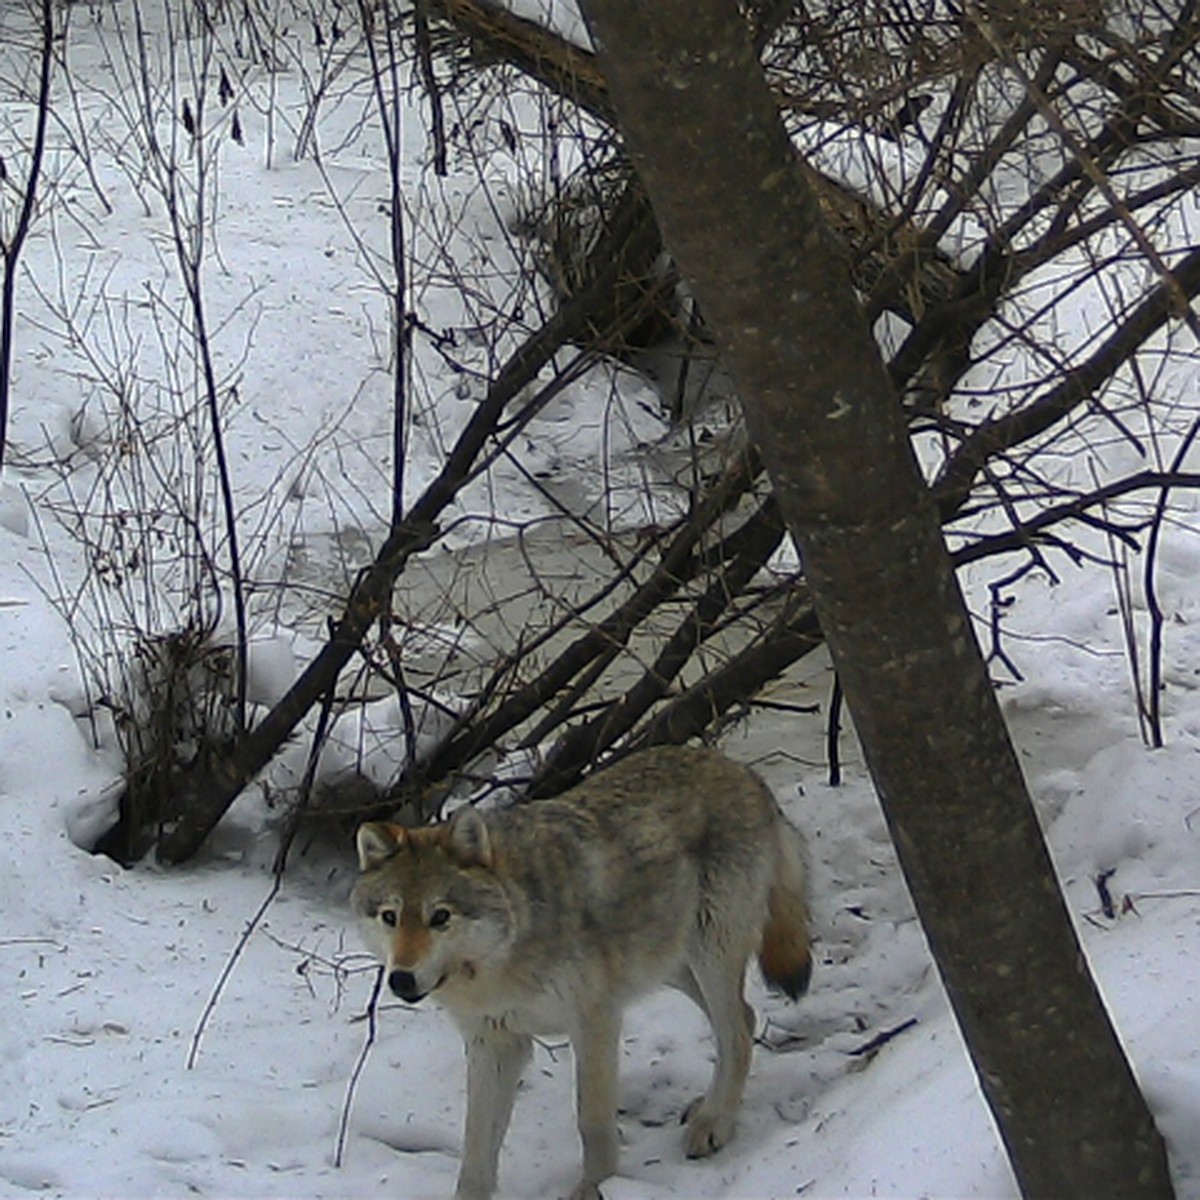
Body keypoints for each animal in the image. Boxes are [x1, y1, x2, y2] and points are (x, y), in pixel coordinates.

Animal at [350, 744, 811, 1195]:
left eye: (440, 917)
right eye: (391, 917)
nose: (401, 979)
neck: (501, 964)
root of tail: (740, 769)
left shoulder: (595, 1021)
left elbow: (591, 1122)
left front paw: (596, 1187)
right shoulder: (494, 1043)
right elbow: (475, 1150)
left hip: (708, 955)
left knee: (736, 1030)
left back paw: (715, 1124)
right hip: (672, 967)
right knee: (743, 1019)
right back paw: (707, 1107)